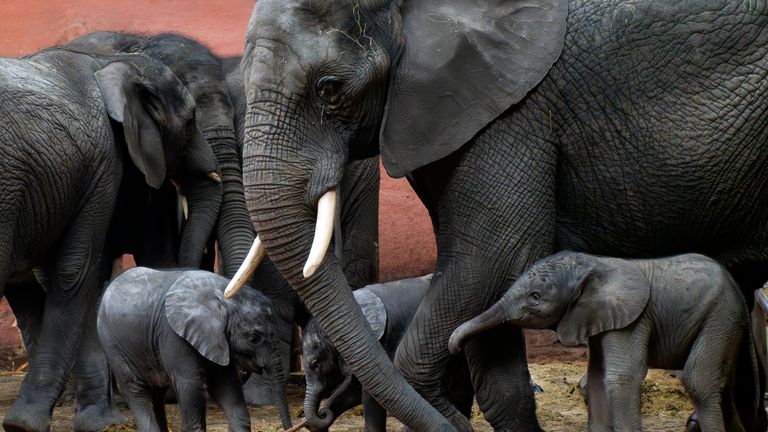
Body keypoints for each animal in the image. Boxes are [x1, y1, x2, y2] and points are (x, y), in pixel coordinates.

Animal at [100, 266, 292, 432]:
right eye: (254, 339)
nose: (289, 428)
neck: (223, 295)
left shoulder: (217, 339)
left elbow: (226, 383)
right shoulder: (173, 333)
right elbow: (190, 384)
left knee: (157, 393)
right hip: (112, 342)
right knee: (136, 389)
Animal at [448, 251, 760, 432]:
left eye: (535, 297)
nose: (453, 347)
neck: (594, 264)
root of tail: (744, 297)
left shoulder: (633, 316)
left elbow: (620, 377)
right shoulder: (598, 316)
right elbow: (597, 377)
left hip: (720, 315)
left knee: (699, 381)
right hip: (724, 321)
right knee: (727, 387)